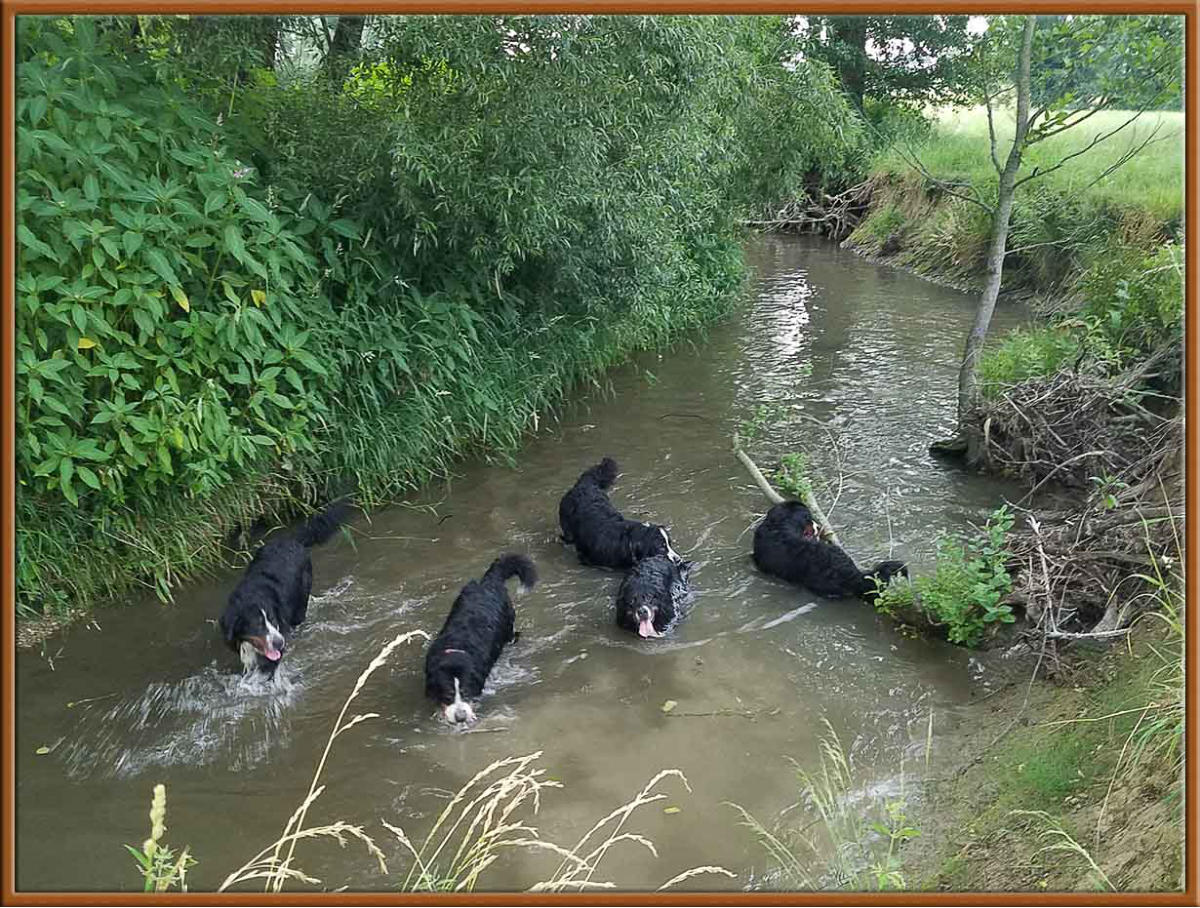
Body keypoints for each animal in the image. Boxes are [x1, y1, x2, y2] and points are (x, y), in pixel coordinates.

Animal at [218, 501, 350, 675]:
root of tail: (292, 540)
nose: (279, 642)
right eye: (257, 624)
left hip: (300, 603)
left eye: (273, 619)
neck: (251, 595)